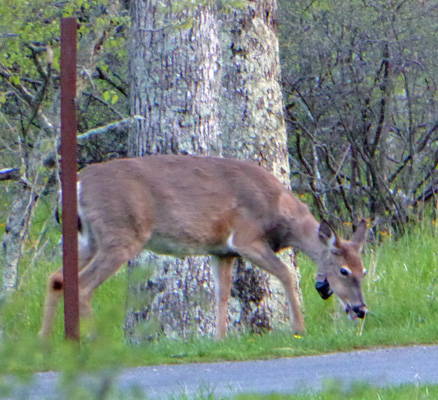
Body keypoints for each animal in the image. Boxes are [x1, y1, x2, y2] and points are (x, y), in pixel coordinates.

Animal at [40, 155, 370, 340]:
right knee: (83, 285)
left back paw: (44, 343)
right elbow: (286, 273)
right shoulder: (246, 239)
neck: (280, 216)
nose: (361, 309)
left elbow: (221, 294)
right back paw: (94, 341)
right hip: (120, 234)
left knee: (56, 278)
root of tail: (77, 185)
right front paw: (299, 329)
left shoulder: (221, 251)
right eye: (344, 270)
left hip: (89, 238)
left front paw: (219, 339)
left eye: (363, 271)